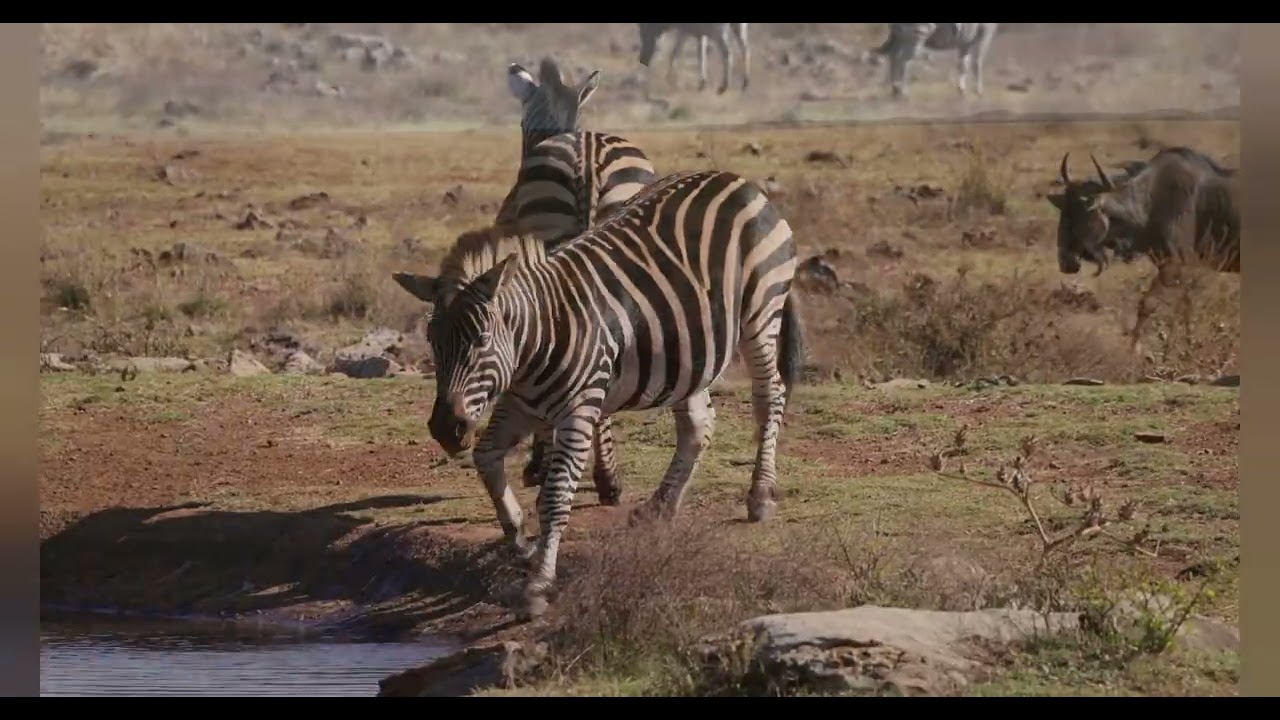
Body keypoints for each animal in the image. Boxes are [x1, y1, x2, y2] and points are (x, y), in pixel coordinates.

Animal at [390, 168, 806, 618]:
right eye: (432, 343)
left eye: (481, 340)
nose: (445, 429)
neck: (536, 341)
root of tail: (735, 178)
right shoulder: (520, 405)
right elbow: (486, 458)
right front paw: (518, 536)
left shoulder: (579, 409)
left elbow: (555, 497)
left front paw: (538, 585)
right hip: (690, 350)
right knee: (698, 425)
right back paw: (660, 506)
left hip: (761, 312)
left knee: (769, 399)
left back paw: (760, 495)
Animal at [871, 23, 999, 99]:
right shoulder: (984, 33)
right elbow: (976, 63)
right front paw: (979, 91)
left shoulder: (965, 41)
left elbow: (963, 65)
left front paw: (962, 89)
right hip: (916, 34)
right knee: (902, 59)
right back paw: (902, 91)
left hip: (902, 36)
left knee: (894, 56)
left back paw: (895, 89)